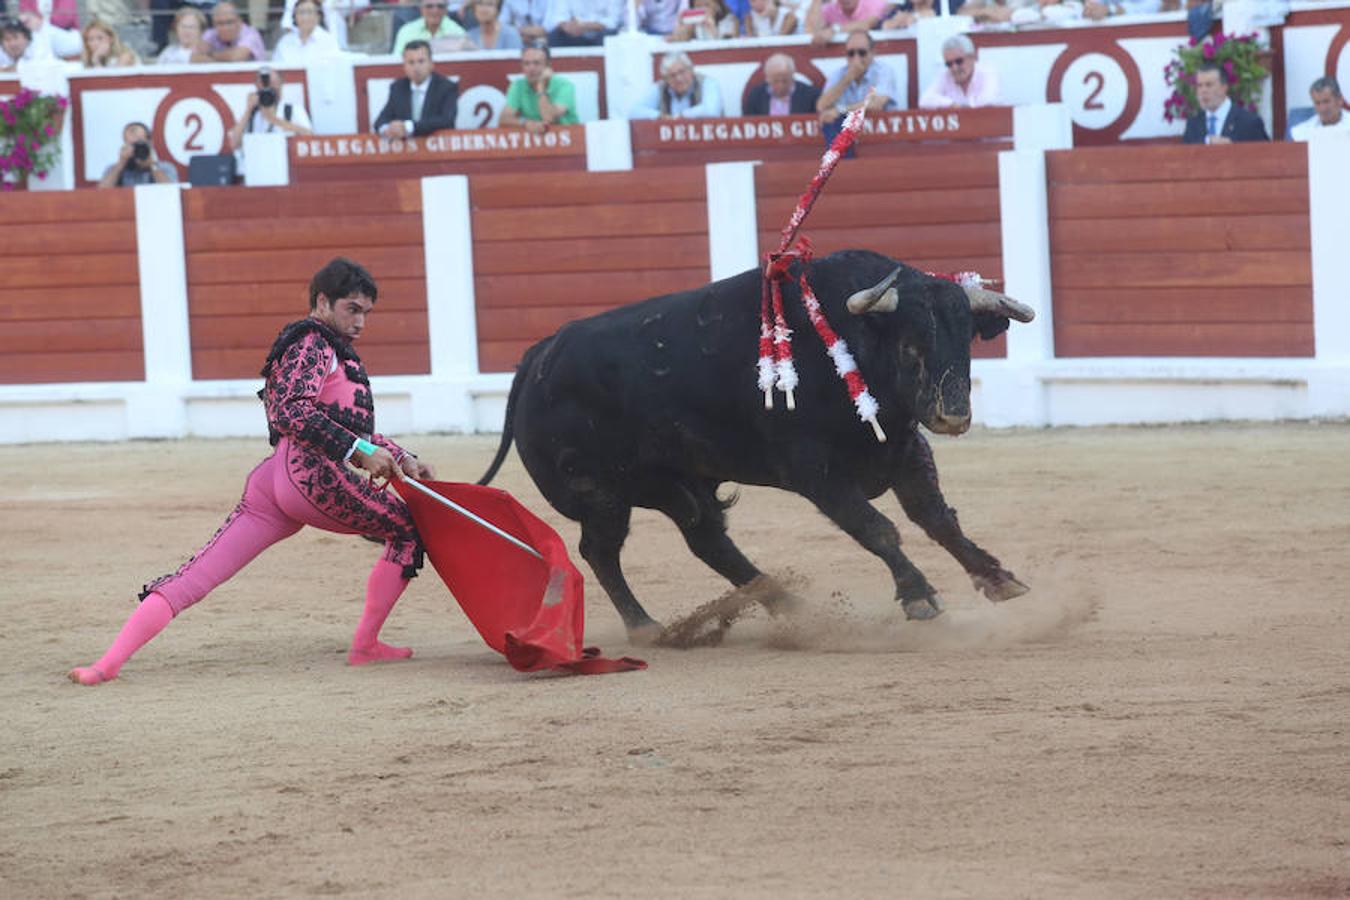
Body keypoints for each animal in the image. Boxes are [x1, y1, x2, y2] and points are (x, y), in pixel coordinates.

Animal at [480, 246, 1036, 639]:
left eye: (966, 340)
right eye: (910, 344)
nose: (952, 415)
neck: (848, 341)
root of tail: (537, 356)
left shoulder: (904, 450)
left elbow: (937, 519)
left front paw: (998, 578)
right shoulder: (816, 471)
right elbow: (877, 529)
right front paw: (919, 596)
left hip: (680, 483)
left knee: (708, 542)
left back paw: (790, 604)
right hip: (600, 494)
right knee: (601, 550)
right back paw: (646, 626)